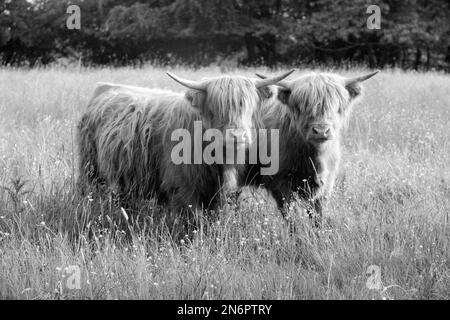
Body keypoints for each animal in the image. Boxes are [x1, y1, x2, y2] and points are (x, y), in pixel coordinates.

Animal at [76, 71, 296, 214]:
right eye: (216, 109)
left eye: (249, 106)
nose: (237, 136)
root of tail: (104, 88)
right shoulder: (183, 188)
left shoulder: (216, 192)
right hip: (91, 169)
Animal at [241, 70, 378, 222]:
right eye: (303, 107)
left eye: (336, 107)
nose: (321, 131)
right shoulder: (279, 182)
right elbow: (290, 215)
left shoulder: (325, 183)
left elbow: (317, 215)